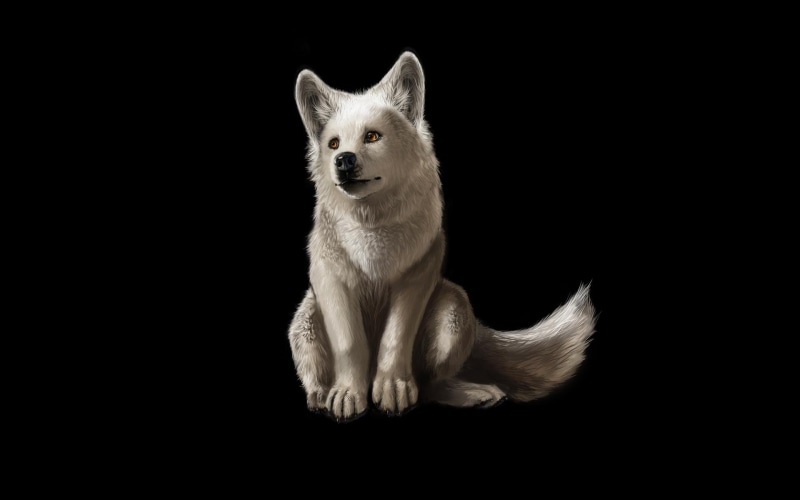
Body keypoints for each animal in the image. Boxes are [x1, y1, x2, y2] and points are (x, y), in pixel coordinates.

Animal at [289, 51, 596, 422]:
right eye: (333, 143)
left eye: (372, 137)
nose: (343, 160)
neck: (372, 224)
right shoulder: (331, 280)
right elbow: (350, 343)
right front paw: (348, 394)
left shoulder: (416, 279)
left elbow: (395, 338)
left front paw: (392, 389)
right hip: (304, 321)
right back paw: (322, 396)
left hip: (454, 306)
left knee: (432, 386)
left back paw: (472, 394)